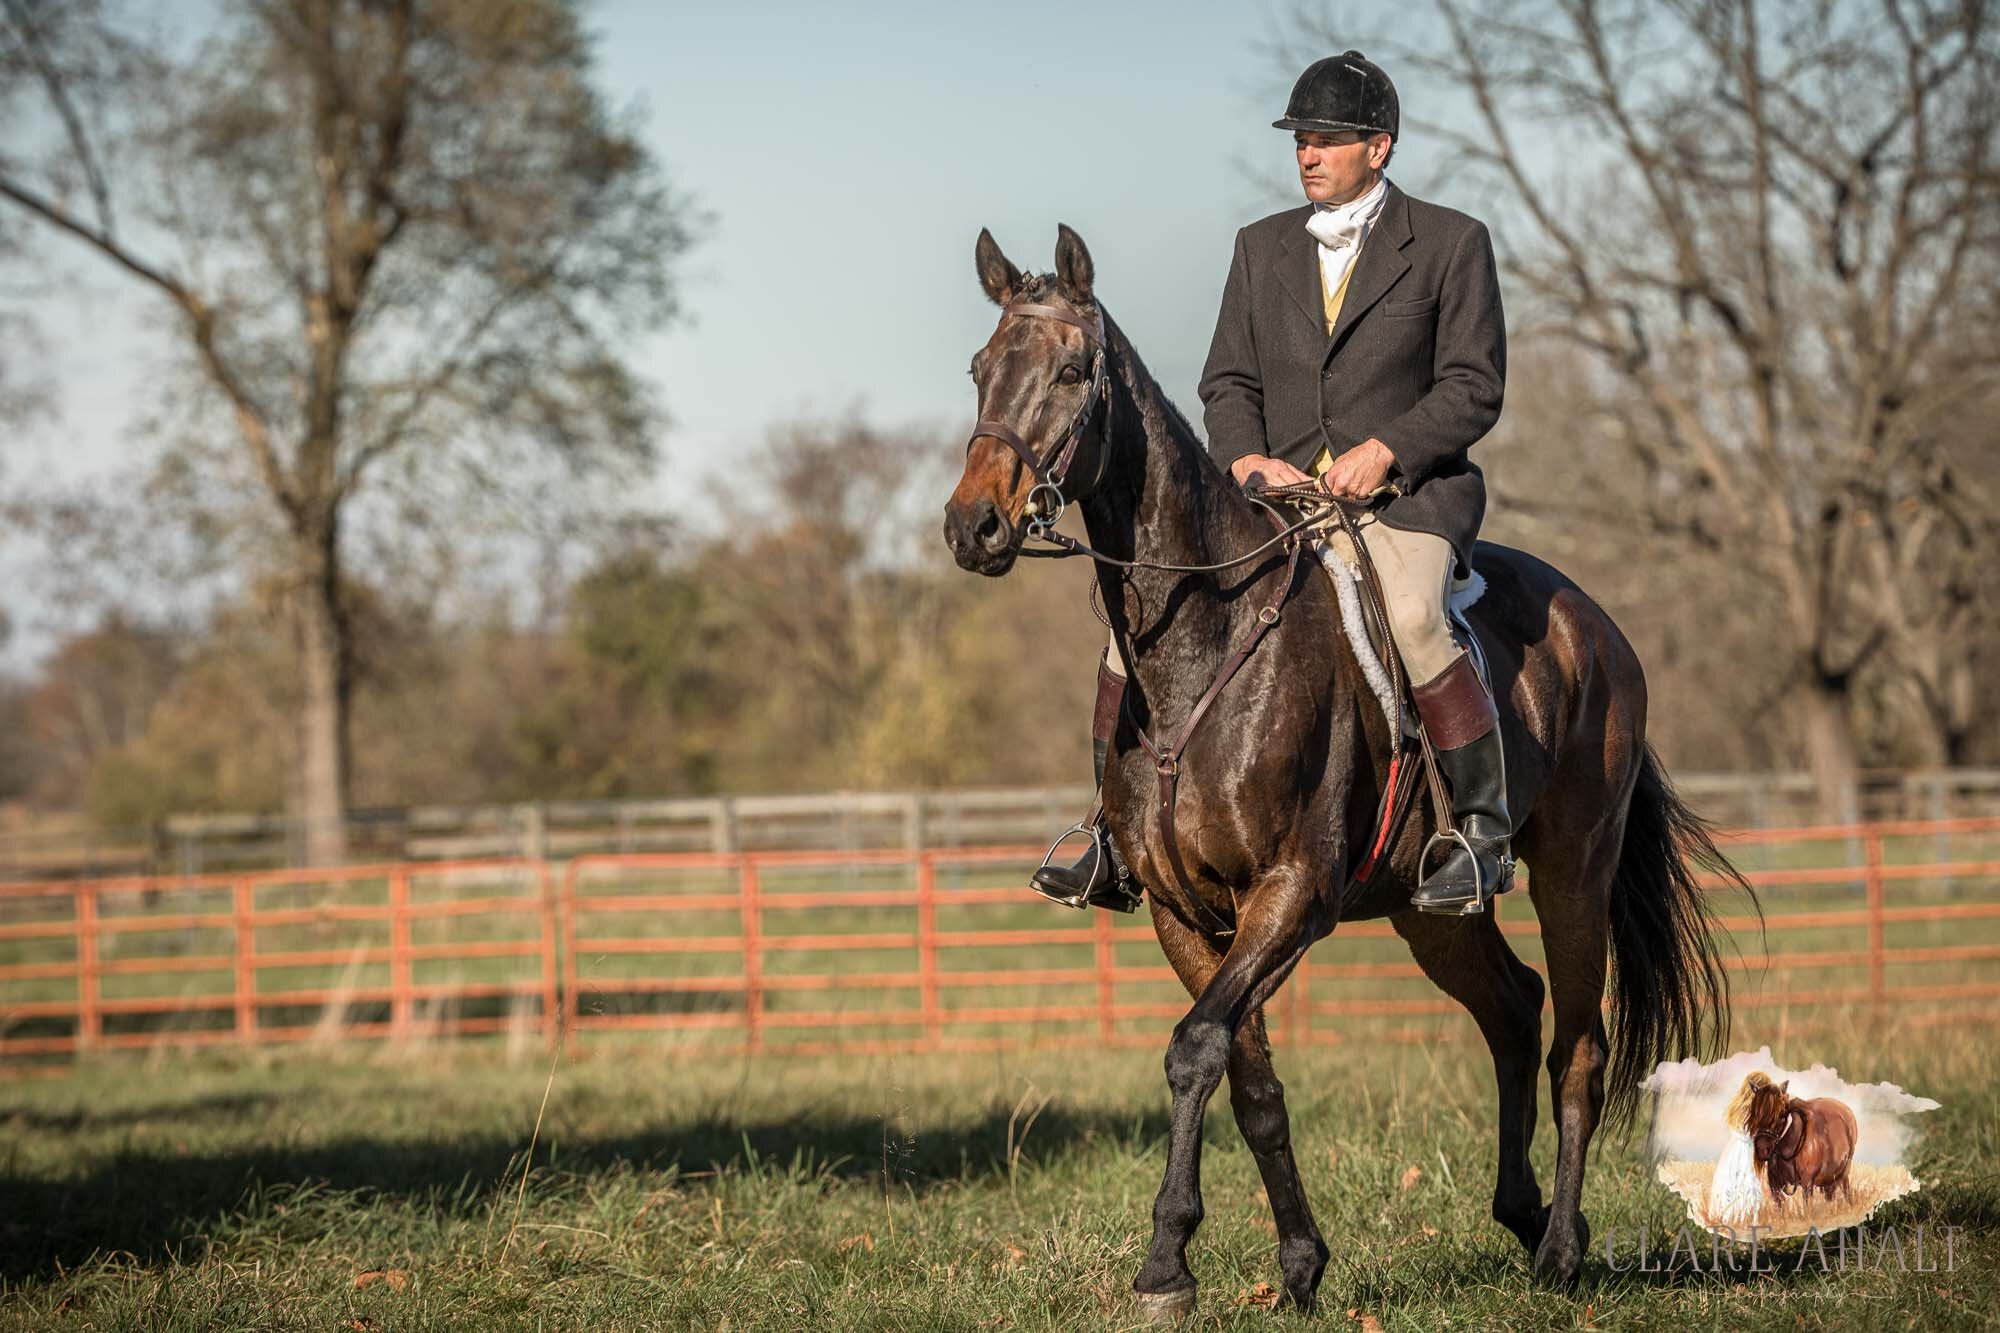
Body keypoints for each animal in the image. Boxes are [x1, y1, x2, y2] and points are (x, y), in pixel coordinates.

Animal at [944, 223, 1744, 1312]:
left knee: (1576, 1045)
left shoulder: (1290, 893)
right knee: (1510, 1007)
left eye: (1071, 372)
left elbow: (1194, 1047)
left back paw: (1559, 1251)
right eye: (980, 370)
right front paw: (1296, 1263)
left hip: (1574, 870)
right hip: (1426, 908)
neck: (1206, 637)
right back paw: (1519, 1210)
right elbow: (1247, 1078)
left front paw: (1166, 1259)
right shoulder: (1183, 913)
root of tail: (1597, 625)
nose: (971, 527)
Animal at [1736, 1072, 1856, 1200]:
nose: (1763, 1149)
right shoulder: (1775, 1186)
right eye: (1754, 1113)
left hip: (1843, 1175)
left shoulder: (1807, 1183)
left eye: (1782, 1115)